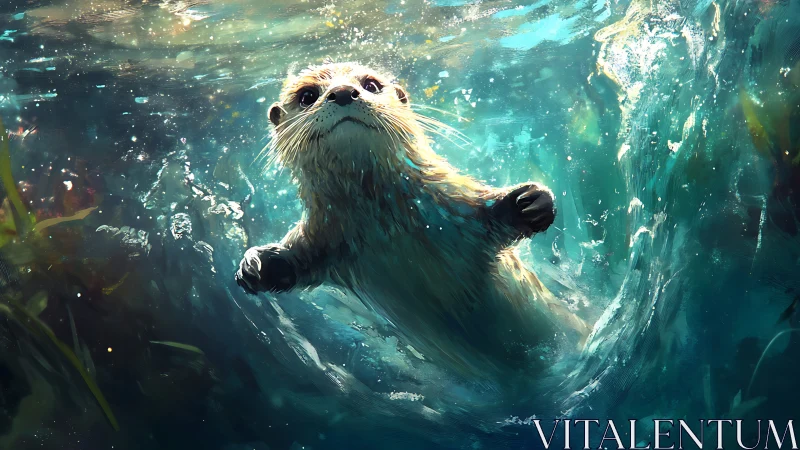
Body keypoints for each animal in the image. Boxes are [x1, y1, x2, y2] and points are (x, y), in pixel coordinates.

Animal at [236, 62, 590, 379]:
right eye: (307, 95)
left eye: (371, 84)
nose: (343, 92)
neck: (390, 226)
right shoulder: (325, 236)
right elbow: (294, 262)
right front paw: (255, 265)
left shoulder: (455, 204)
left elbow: (490, 211)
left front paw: (530, 201)